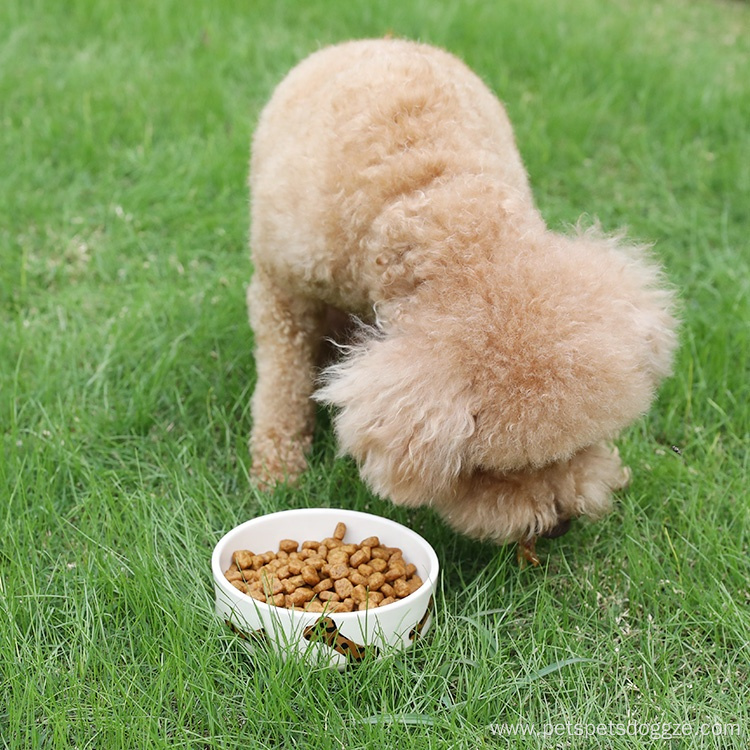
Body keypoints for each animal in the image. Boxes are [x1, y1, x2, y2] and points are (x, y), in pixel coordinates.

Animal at [248, 36, 680, 564]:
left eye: (578, 447)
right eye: (494, 469)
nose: (560, 524)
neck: (428, 194)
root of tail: (377, 39)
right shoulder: (282, 286)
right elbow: (282, 384)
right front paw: (276, 475)